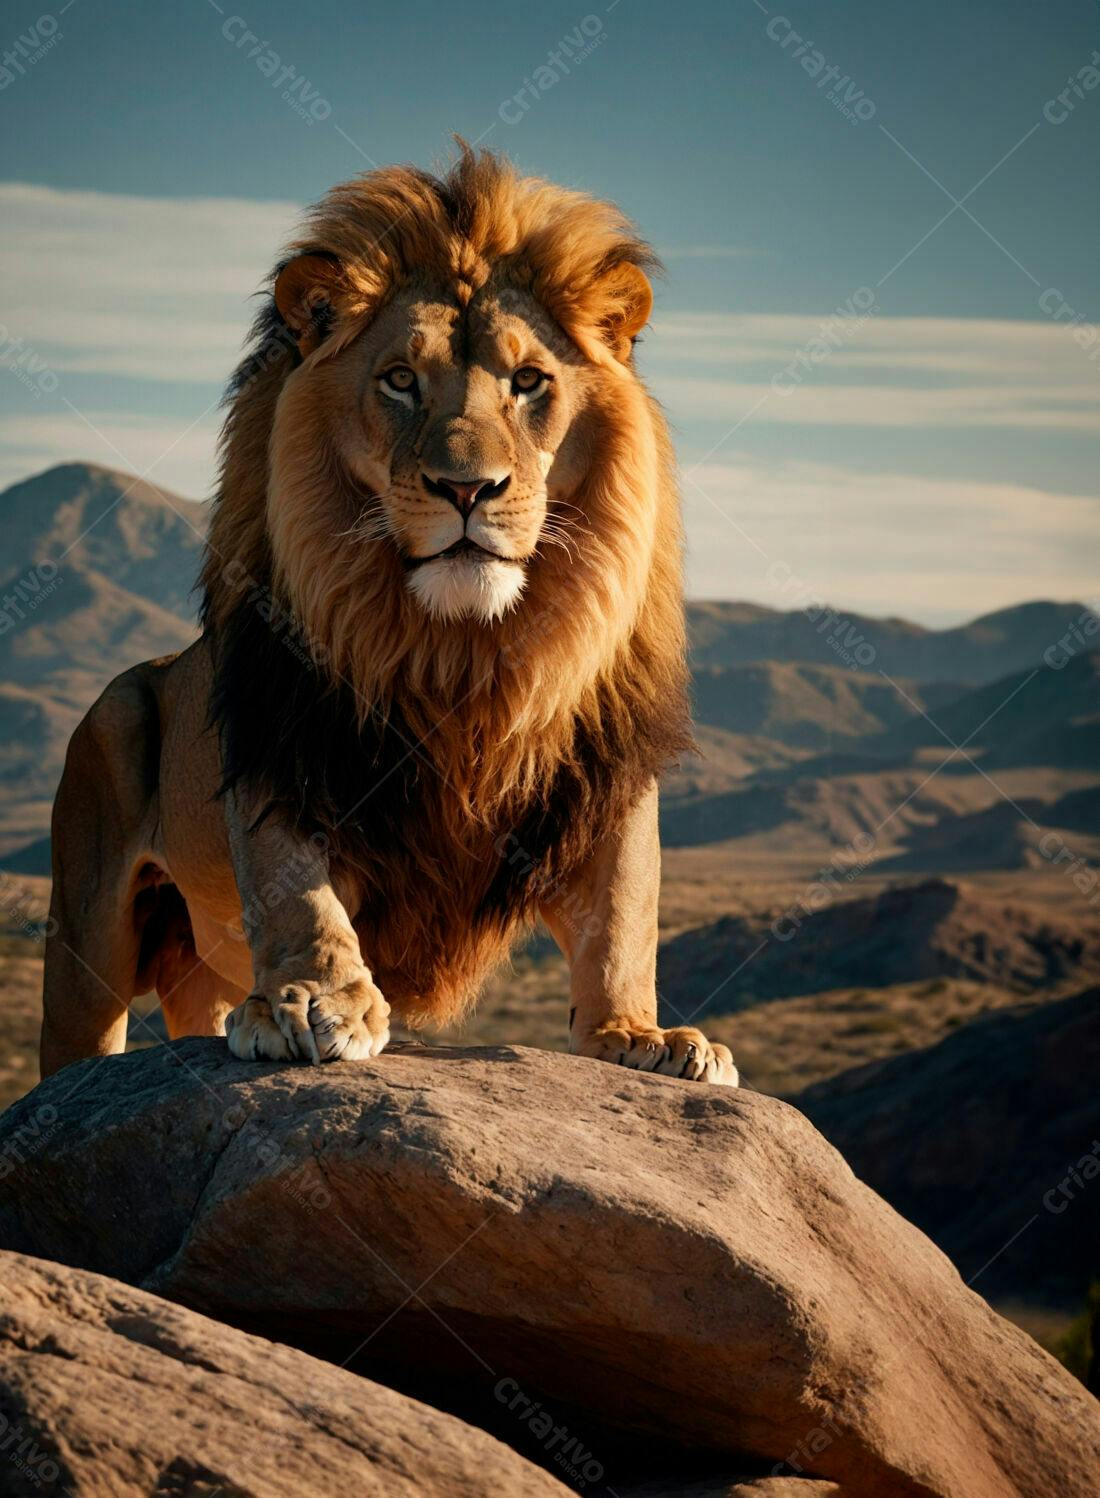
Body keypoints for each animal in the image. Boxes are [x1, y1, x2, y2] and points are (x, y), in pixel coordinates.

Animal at [40, 147, 738, 1087]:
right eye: (401, 381)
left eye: (529, 383)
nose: (467, 489)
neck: (462, 649)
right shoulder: (282, 736)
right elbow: (297, 890)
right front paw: (314, 1001)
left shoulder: (609, 766)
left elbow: (624, 915)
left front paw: (642, 1034)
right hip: (86, 933)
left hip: (194, 962)